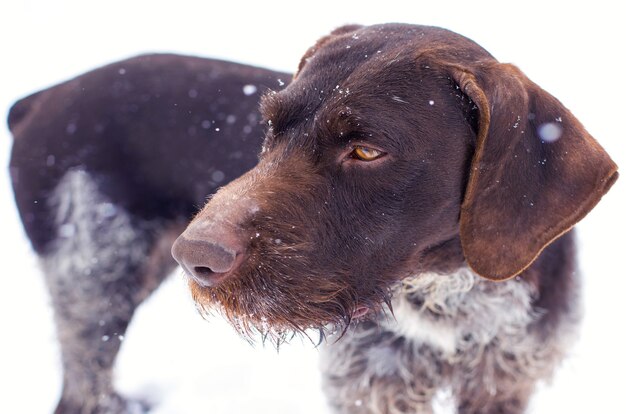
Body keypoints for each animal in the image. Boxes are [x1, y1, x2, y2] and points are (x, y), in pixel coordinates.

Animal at [169, 24, 616, 412]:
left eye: (366, 151)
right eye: (270, 127)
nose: (194, 256)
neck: (446, 290)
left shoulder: (503, 381)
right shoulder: (373, 384)